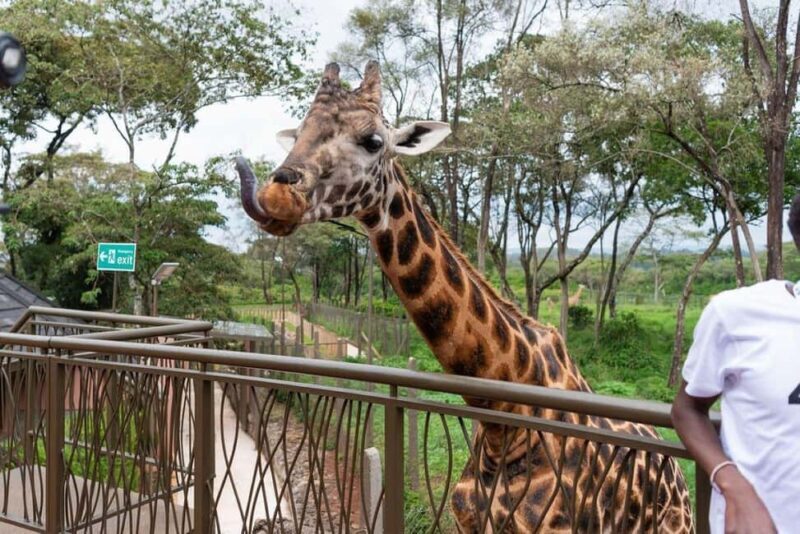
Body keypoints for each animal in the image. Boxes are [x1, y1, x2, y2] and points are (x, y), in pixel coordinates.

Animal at [236, 62, 693, 533]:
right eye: (301, 131)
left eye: (374, 141)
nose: (275, 196)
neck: (502, 418)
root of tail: (680, 477)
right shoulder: (468, 521)